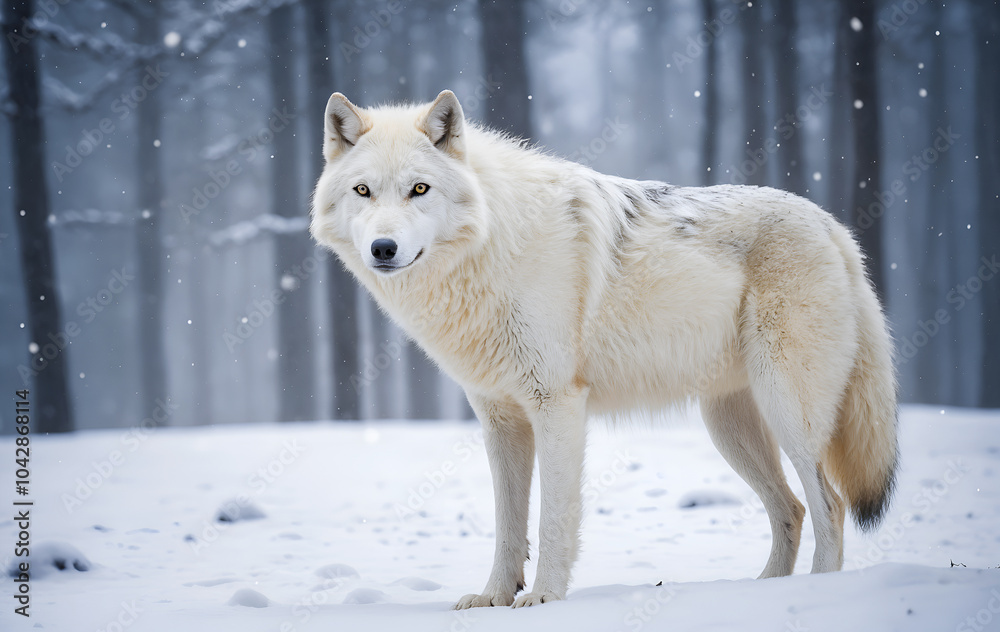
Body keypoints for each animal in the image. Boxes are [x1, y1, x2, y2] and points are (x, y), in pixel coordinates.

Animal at [310, 90, 898, 608]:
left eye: (419, 189)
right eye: (363, 191)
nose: (383, 248)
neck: (494, 244)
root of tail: (833, 225)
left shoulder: (557, 404)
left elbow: (552, 518)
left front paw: (544, 597)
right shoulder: (500, 419)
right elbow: (507, 525)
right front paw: (494, 597)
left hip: (788, 412)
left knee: (830, 506)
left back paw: (813, 592)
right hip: (728, 427)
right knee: (792, 510)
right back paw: (764, 591)